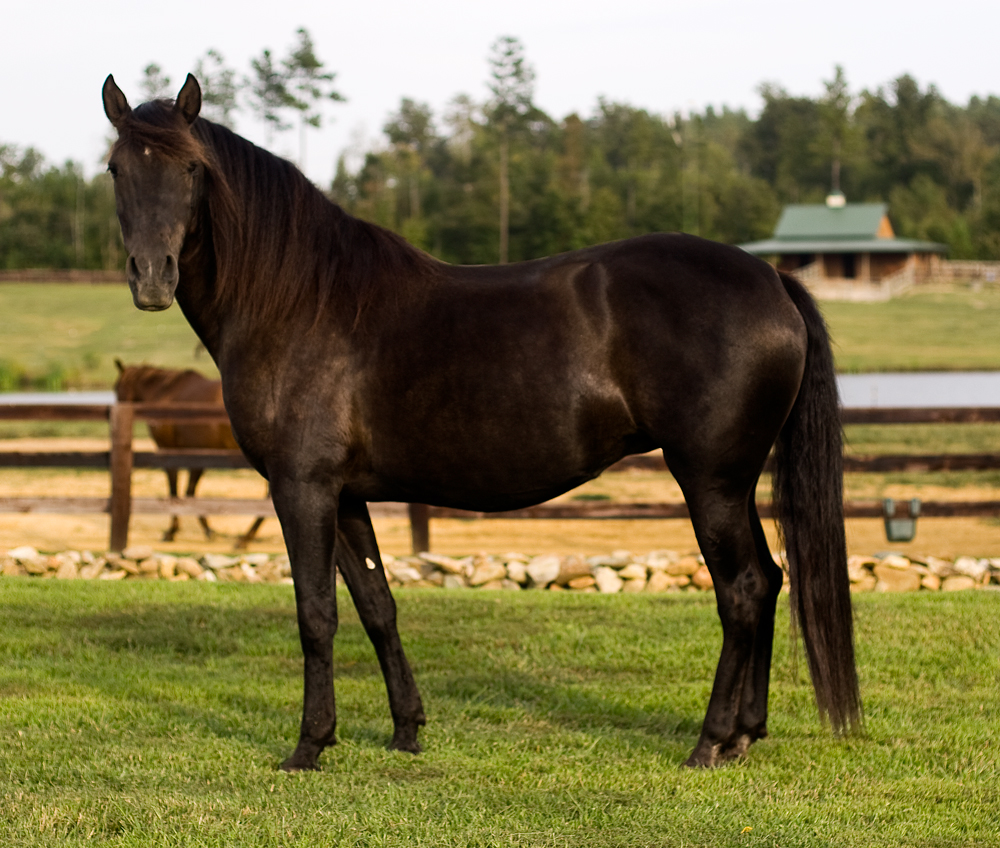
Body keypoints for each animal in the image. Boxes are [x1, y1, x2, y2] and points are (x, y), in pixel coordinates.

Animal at [113, 358, 264, 544]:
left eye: (116, 387)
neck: (165, 392)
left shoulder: (169, 451)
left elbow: (176, 491)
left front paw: (172, 531)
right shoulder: (197, 456)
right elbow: (190, 492)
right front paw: (207, 529)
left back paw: (246, 537)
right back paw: (247, 536)